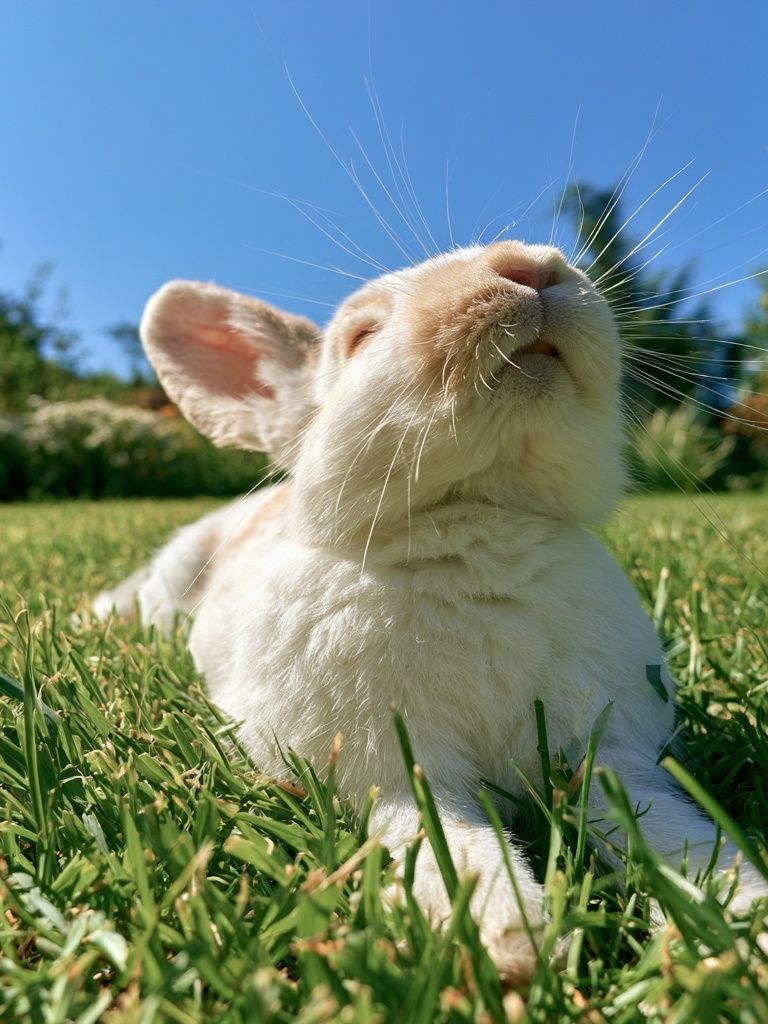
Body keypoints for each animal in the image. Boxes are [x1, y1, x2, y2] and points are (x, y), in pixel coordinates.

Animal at [94, 240, 766, 981]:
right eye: (361, 336)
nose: (530, 264)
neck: (478, 528)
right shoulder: (389, 767)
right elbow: (442, 835)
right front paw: (509, 941)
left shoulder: (611, 755)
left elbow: (668, 832)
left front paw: (742, 918)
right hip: (176, 569)